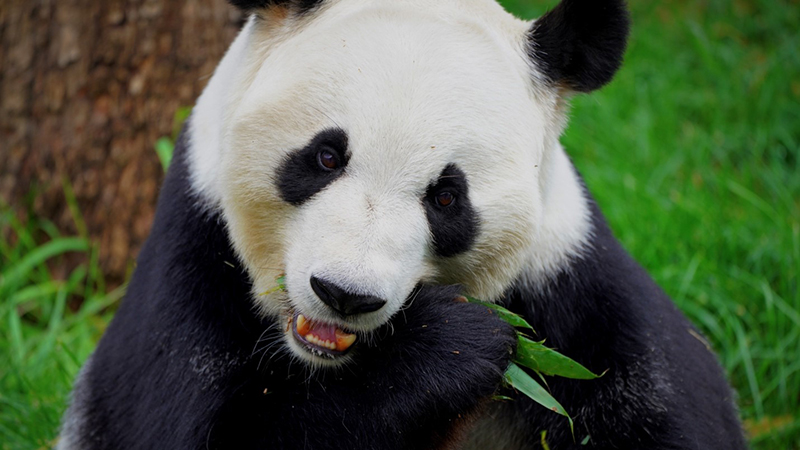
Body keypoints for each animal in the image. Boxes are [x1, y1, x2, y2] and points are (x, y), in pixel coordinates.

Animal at [58, 0, 747, 448]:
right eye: (326, 157)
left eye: (446, 198)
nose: (344, 294)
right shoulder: (196, 249)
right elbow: (195, 428)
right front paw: (451, 344)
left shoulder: (567, 278)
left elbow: (659, 399)